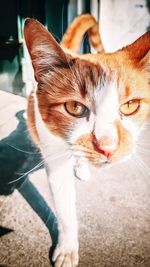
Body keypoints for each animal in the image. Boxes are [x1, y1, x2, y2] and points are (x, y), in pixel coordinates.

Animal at [23, 14, 149, 267]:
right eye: (74, 107)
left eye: (130, 106)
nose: (107, 147)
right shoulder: (56, 160)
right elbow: (65, 210)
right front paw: (67, 248)